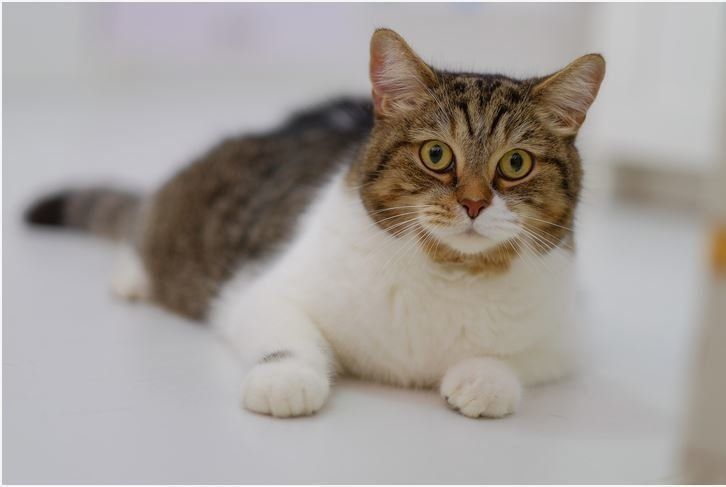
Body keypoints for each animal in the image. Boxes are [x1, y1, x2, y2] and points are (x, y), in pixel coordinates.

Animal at [26, 28, 605, 418]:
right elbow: (289, 336)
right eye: (437, 155)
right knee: (141, 225)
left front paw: (484, 380)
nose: (474, 204)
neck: (448, 271)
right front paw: (286, 379)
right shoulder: (261, 290)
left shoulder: (568, 336)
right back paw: (131, 275)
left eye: (516, 164)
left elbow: (517, 358)